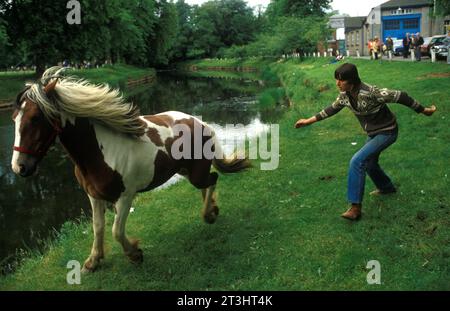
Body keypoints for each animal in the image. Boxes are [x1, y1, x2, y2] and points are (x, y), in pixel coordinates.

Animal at [10, 66, 250, 272]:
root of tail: (202, 123)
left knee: (213, 178)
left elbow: (116, 230)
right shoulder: (93, 196)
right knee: (208, 183)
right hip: (185, 171)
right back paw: (212, 209)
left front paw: (134, 254)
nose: (19, 167)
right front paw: (93, 261)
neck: (100, 152)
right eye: (14, 118)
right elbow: (98, 227)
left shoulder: (125, 197)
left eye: (35, 118)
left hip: (195, 174)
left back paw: (209, 214)